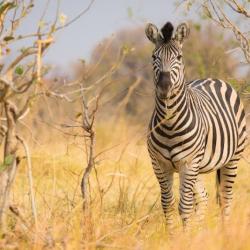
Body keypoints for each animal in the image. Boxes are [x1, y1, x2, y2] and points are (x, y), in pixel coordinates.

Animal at [146, 22, 247, 230]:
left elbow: (184, 206)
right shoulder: (159, 163)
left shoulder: (188, 162)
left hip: (232, 157)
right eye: (154, 57)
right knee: (203, 198)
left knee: (226, 198)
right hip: (198, 167)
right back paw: (199, 233)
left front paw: (185, 236)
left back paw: (225, 233)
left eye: (179, 57)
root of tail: (214, 79)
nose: (164, 87)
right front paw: (175, 235)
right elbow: (167, 204)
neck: (169, 124)